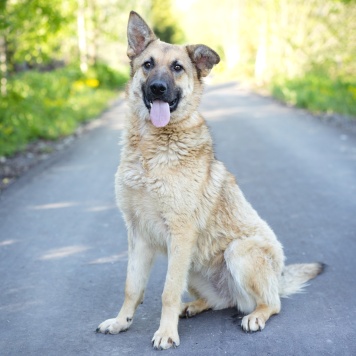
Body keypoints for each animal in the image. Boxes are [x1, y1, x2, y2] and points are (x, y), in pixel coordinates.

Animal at [96, 11, 324, 350]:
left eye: (177, 68)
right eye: (148, 64)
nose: (158, 88)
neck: (151, 149)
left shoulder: (180, 234)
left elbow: (166, 292)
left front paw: (166, 333)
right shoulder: (138, 235)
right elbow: (132, 287)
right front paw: (121, 322)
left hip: (237, 252)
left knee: (272, 304)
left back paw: (255, 315)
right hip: (192, 266)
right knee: (218, 302)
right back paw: (191, 306)